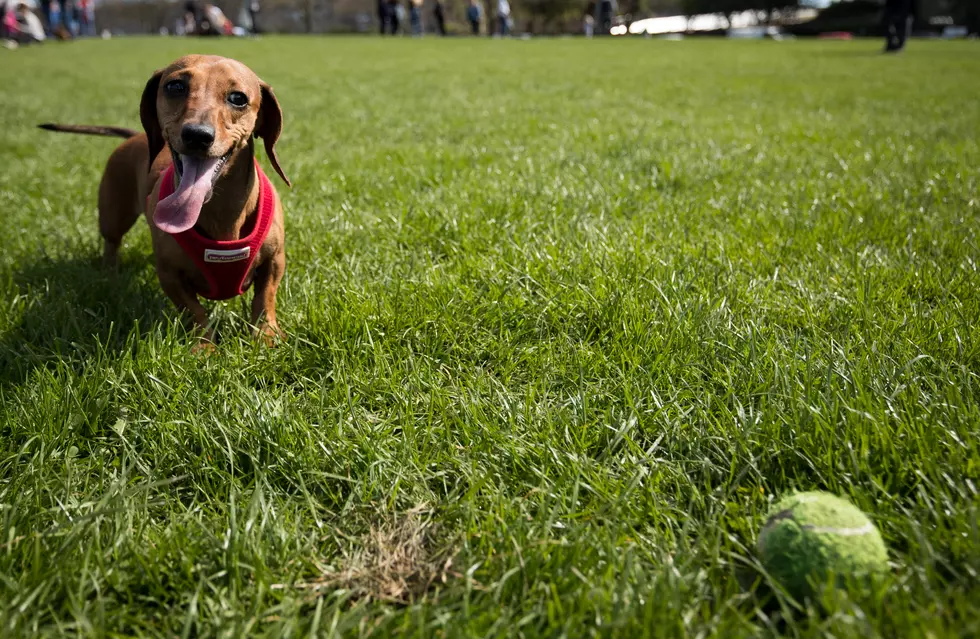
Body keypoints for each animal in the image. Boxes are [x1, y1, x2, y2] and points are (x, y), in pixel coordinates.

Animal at [40, 55, 290, 344]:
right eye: (175, 86)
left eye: (238, 98)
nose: (197, 135)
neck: (220, 213)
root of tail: (135, 135)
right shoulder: (169, 274)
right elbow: (194, 311)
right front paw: (203, 346)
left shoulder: (274, 261)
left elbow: (264, 300)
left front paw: (266, 337)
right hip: (113, 217)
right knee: (111, 243)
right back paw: (111, 274)